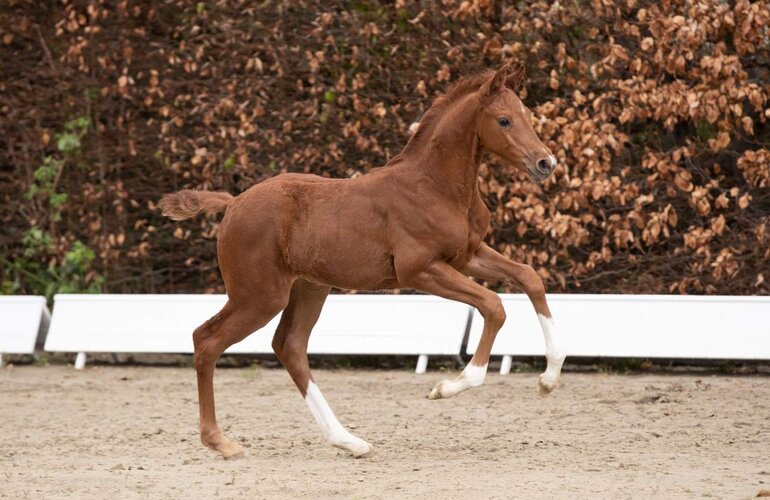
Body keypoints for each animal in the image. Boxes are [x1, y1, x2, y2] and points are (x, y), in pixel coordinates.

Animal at [159, 63, 566, 459]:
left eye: (528, 114)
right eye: (503, 120)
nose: (546, 163)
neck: (434, 185)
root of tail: (232, 204)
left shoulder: (467, 256)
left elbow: (529, 277)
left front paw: (548, 381)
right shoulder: (420, 269)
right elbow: (493, 305)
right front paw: (447, 387)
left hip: (309, 287)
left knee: (289, 346)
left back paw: (348, 441)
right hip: (259, 296)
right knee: (207, 340)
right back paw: (220, 441)